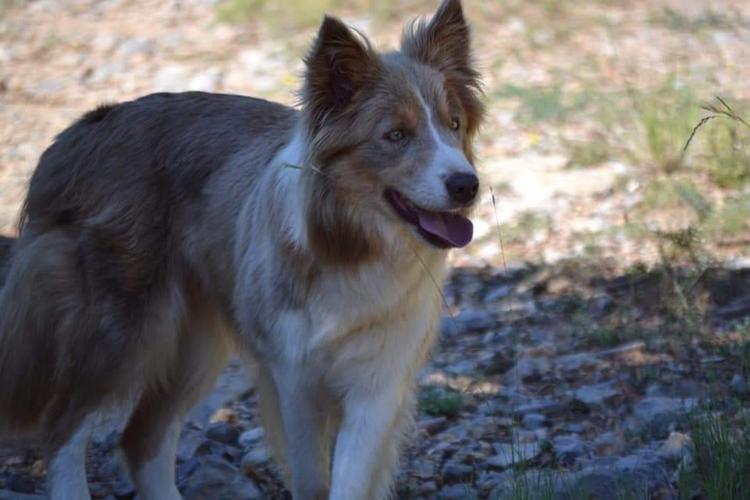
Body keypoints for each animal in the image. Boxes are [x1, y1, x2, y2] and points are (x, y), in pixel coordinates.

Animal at [0, 1, 482, 498]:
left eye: (454, 124)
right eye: (396, 135)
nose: (467, 185)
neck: (353, 245)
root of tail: (74, 135)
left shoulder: (377, 386)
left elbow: (350, 479)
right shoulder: (294, 380)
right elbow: (312, 478)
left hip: (195, 342)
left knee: (140, 439)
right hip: (121, 332)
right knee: (62, 429)